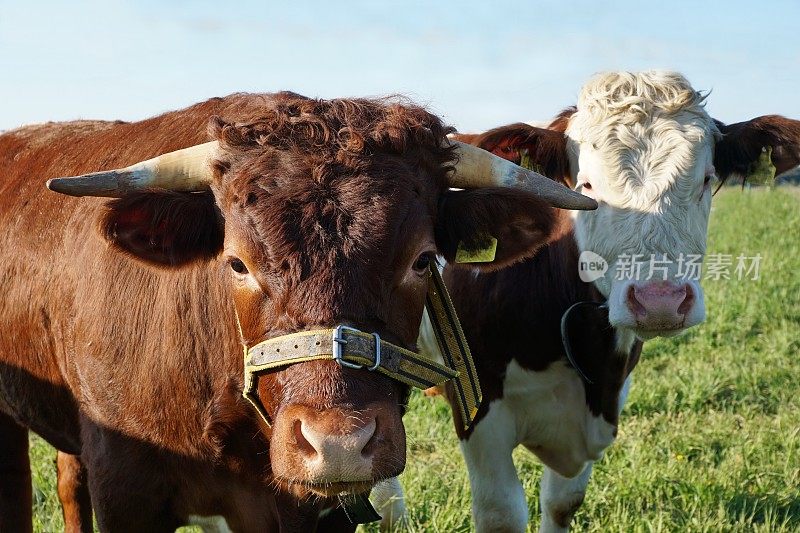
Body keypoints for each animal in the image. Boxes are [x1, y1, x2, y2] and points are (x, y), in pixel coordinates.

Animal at [416, 71, 796, 532]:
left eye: (707, 178)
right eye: (586, 185)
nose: (660, 301)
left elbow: (563, 502)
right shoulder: (481, 410)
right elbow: (501, 512)